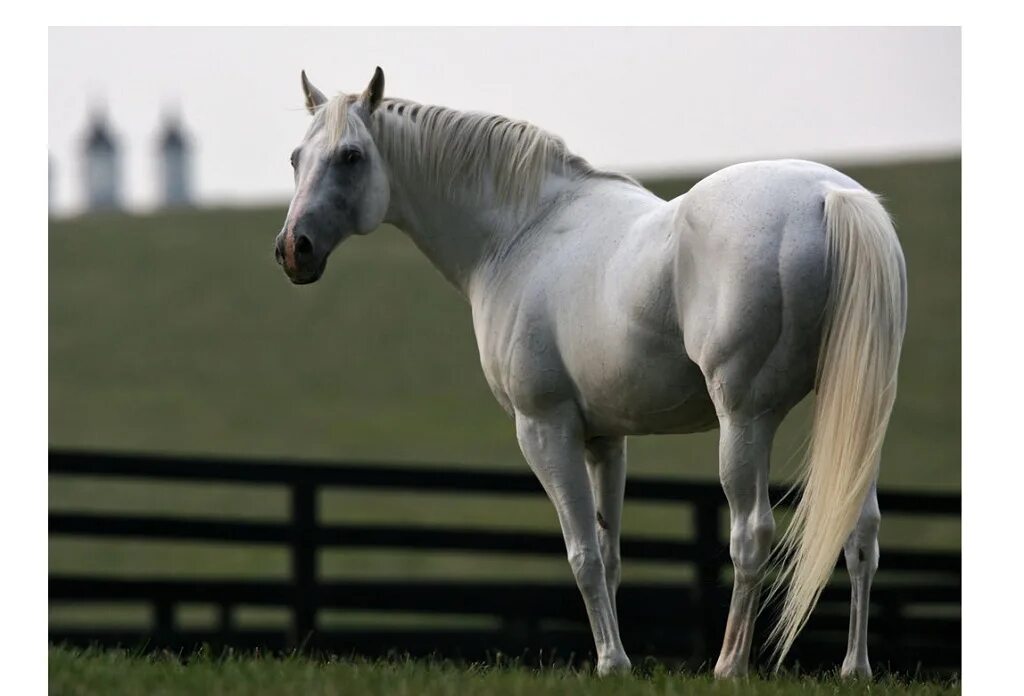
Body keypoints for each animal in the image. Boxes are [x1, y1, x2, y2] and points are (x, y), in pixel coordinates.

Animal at [272, 68, 905, 675]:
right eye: (296, 157)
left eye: (350, 156)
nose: (293, 249)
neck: (519, 234)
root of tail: (830, 196)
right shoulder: (607, 439)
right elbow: (609, 553)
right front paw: (615, 658)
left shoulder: (545, 429)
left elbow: (580, 554)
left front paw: (611, 662)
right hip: (857, 414)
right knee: (861, 531)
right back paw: (855, 669)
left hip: (745, 420)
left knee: (752, 535)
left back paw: (730, 666)